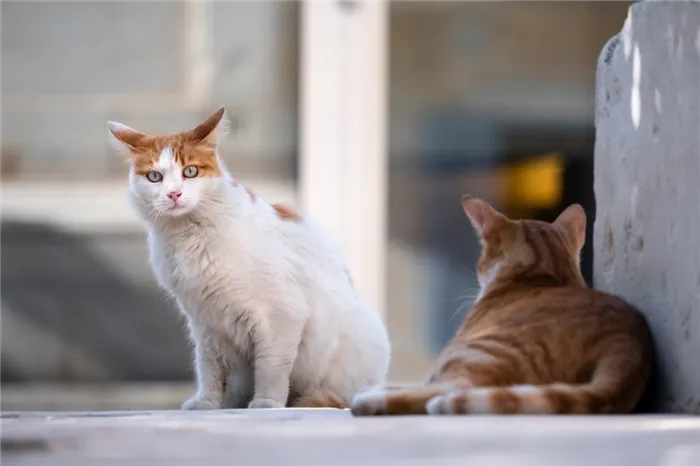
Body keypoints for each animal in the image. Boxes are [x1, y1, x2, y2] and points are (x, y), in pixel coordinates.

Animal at [106, 107, 392, 410]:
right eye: (154, 177)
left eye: (190, 171)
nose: (174, 194)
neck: (189, 236)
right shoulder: (205, 324)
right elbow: (208, 369)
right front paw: (207, 402)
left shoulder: (279, 317)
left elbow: (270, 367)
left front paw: (266, 402)